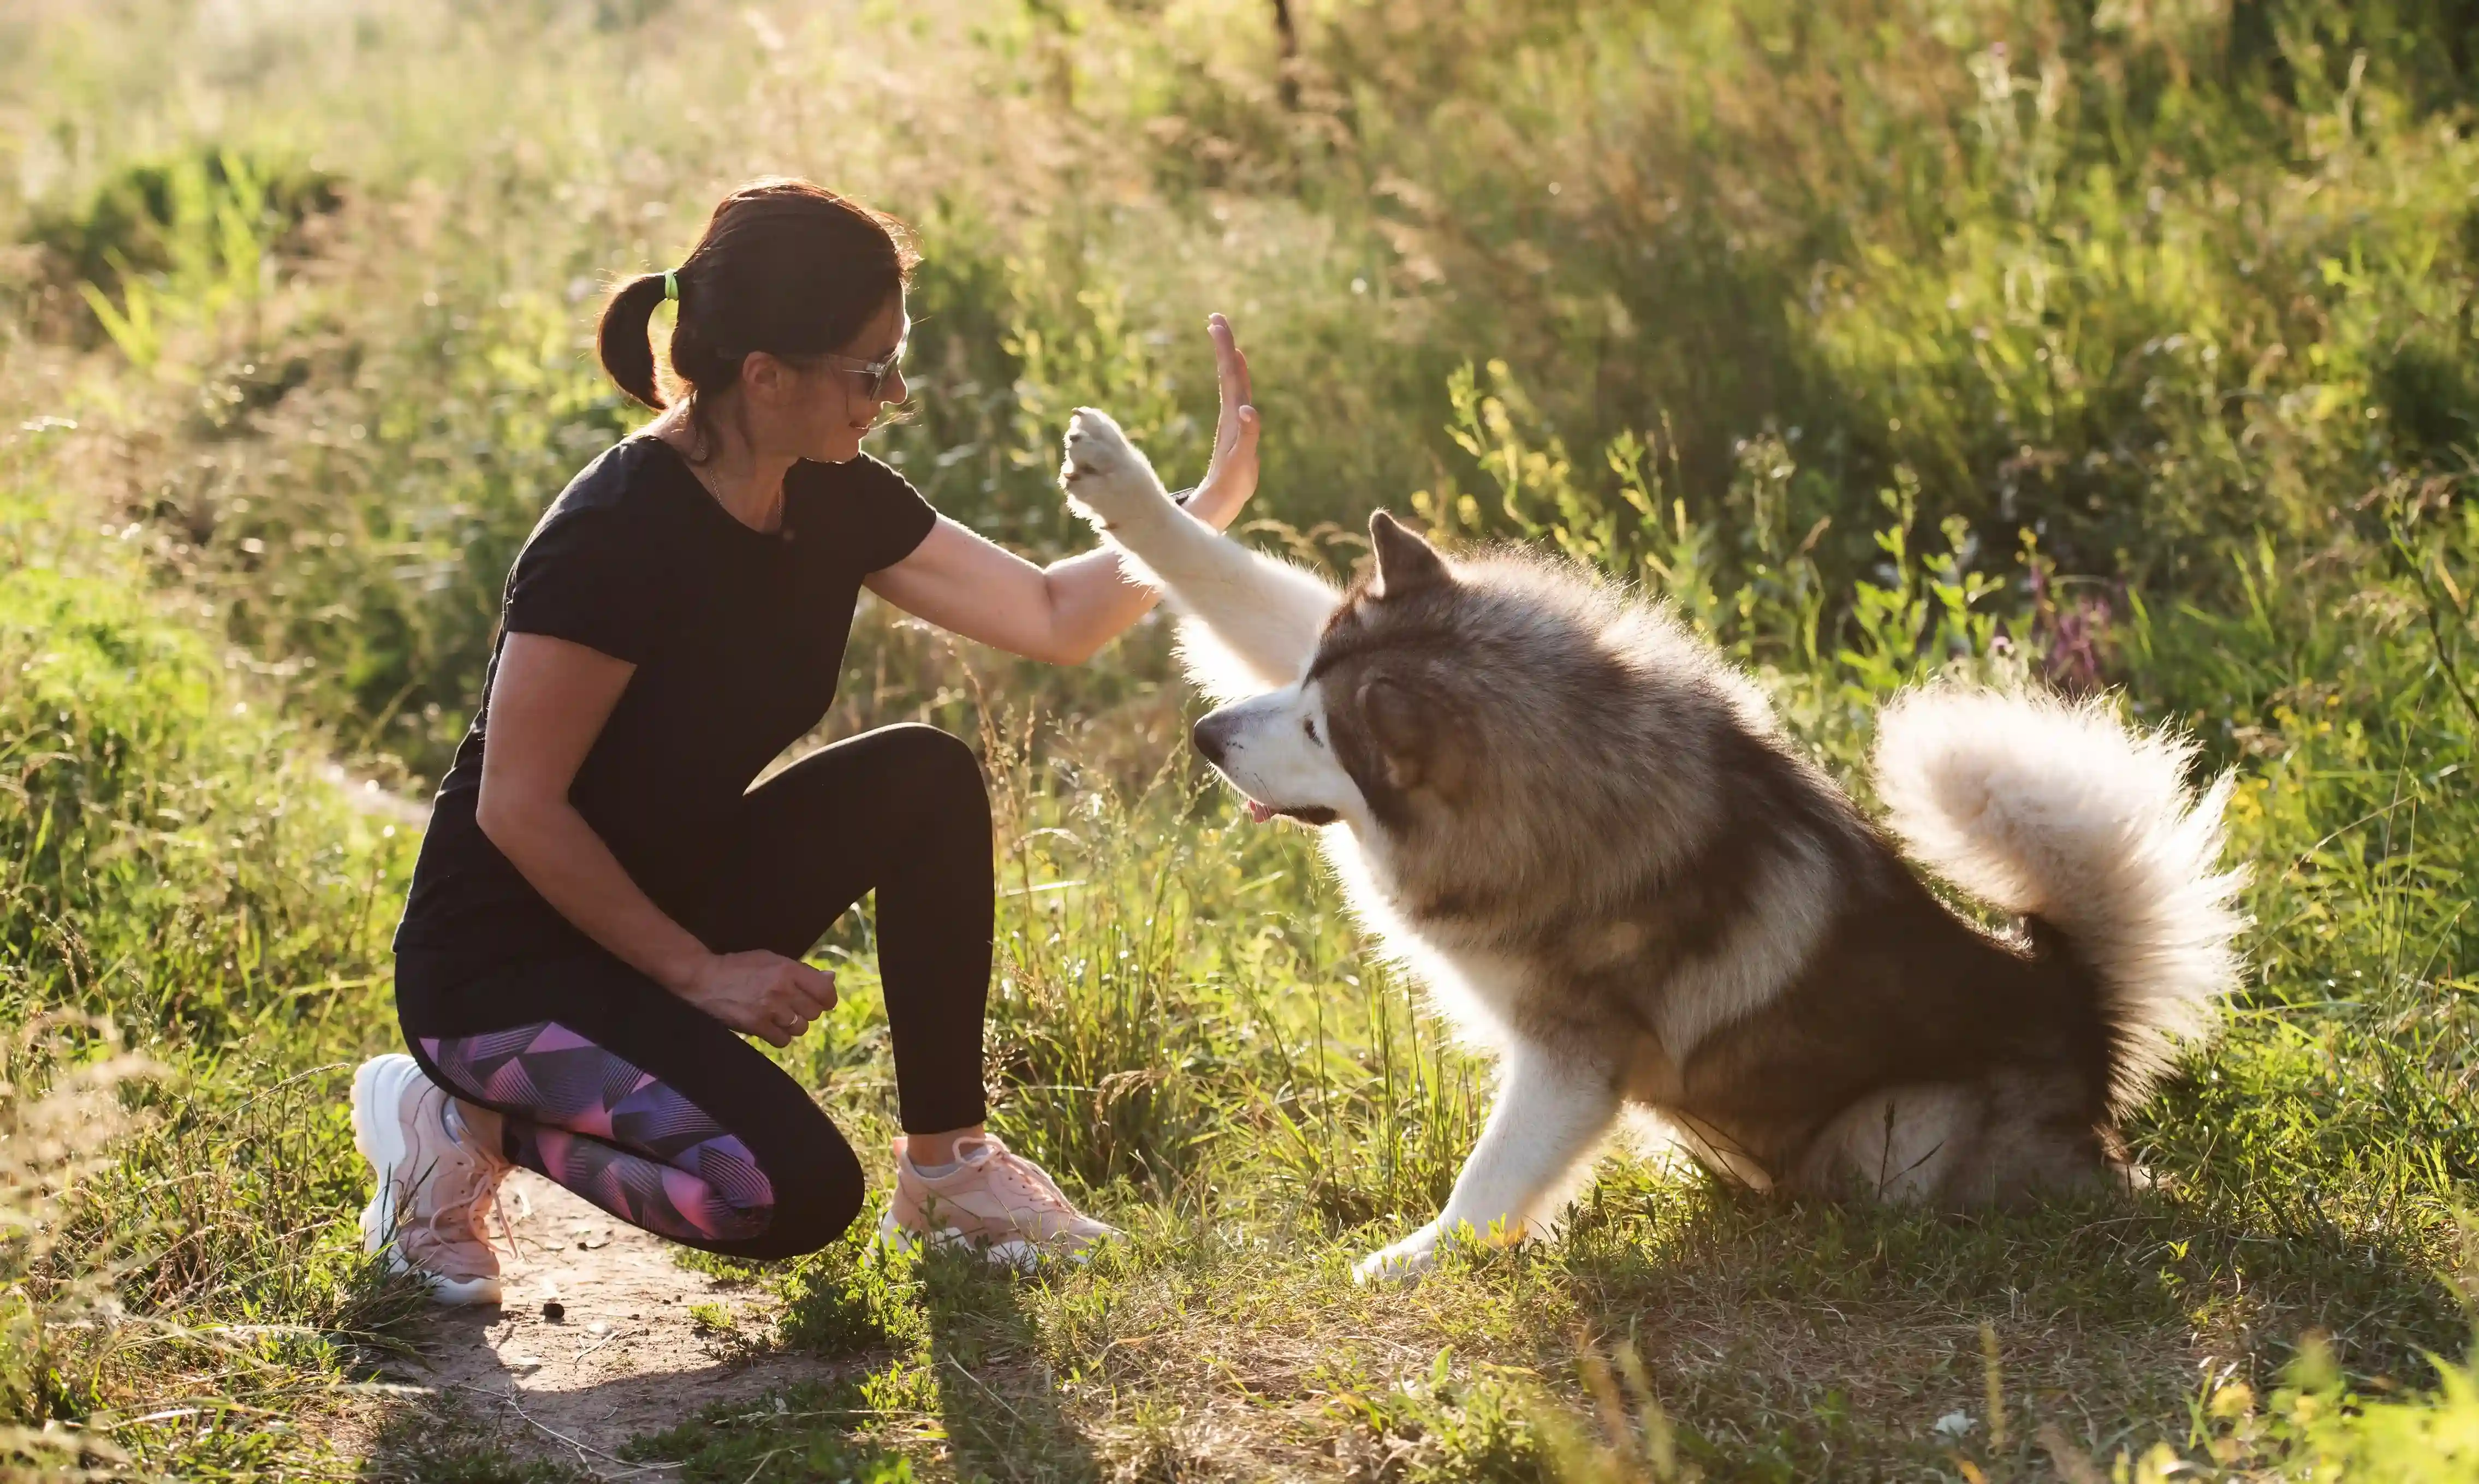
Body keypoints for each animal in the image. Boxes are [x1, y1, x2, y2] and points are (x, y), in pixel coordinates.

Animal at [1056, 403, 2261, 1278]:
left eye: (1319, 729)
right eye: (1300, 681)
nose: (1209, 735)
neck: (1569, 772)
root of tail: (2074, 1004)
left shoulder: (1571, 1058)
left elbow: (1488, 1178)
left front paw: (1415, 1259)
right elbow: (1231, 578)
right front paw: (1130, 491)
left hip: (1896, 1130)